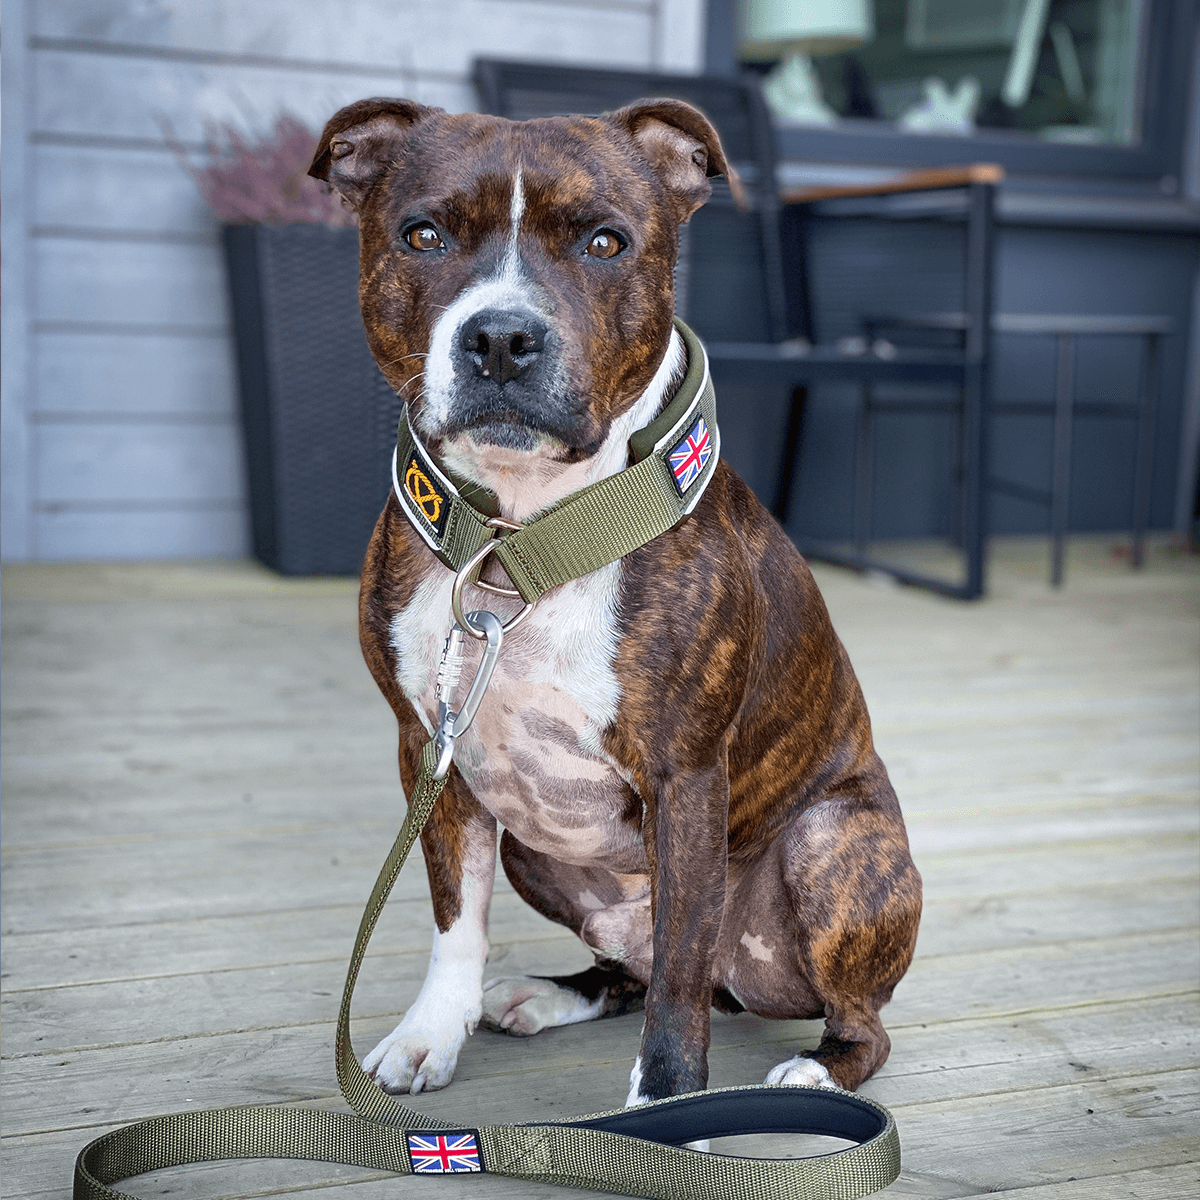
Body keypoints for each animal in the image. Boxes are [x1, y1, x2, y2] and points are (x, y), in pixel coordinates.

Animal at [307, 91, 916, 1104]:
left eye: (604, 242)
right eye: (424, 234)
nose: (501, 338)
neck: (519, 541)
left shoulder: (686, 779)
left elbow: (676, 983)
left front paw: (663, 1110)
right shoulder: (433, 754)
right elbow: (454, 917)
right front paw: (432, 1034)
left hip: (830, 844)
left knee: (838, 1015)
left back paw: (816, 1073)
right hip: (535, 848)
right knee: (631, 966)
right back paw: (554, 995)